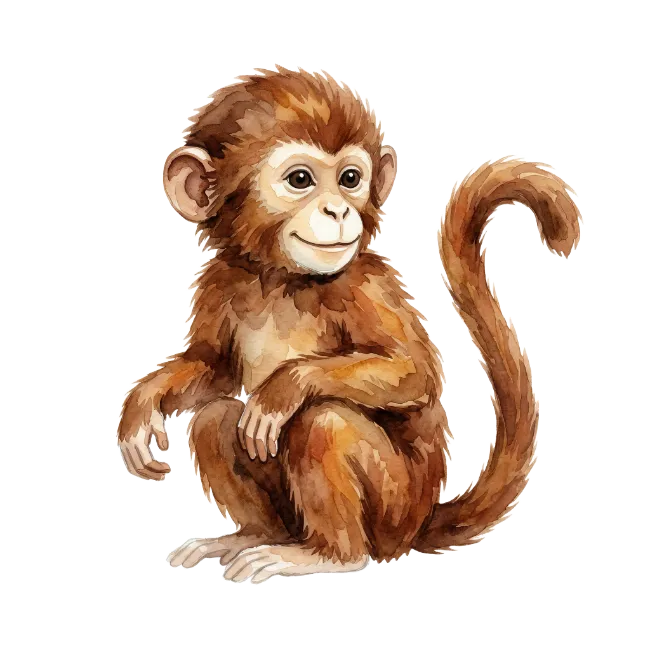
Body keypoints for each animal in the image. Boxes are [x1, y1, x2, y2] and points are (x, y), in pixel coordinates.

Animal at [116, 66, 582, 583]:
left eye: (350, 179)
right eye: (301, 180)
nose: (338, 210)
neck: (281, 280)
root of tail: (420, 523)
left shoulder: (365, 285)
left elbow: (414, 373)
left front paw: (287, 385)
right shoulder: (220, 282)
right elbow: (213, 368)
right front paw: (143, 401)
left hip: (393, 507)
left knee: (324, 422)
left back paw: (329, 555)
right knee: (215, 419)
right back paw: (254, 536)